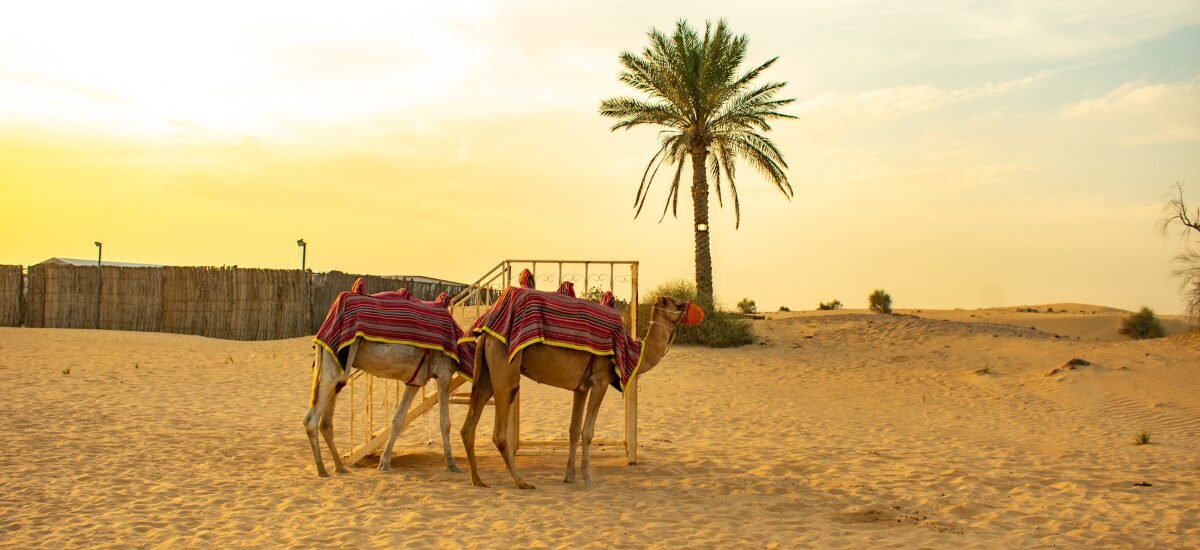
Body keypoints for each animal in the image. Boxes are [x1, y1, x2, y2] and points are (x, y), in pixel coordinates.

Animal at [303, 341, 463, 477]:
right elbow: (445, 423)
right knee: (311, 420)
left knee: (326, 422)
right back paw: (322, 470)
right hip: (336, 362)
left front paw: (384, 463)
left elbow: (398, 420)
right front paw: (452, 465)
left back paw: (340, 467)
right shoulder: (444, 373)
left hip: (338, 371)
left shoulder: (415, 381)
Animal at [460, 296, 703, 488]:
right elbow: (588, 431)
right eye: (678, 304)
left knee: (468, 426)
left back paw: (478, 480)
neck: (634, 351)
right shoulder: (600, 380)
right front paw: (587, 478)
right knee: (500, 430)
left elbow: (574, 429)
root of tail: (486, 334)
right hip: (505, 369)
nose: (699, 312)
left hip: (485, 374)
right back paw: (522, 482)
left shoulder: (581, 387)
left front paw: (570, 476)